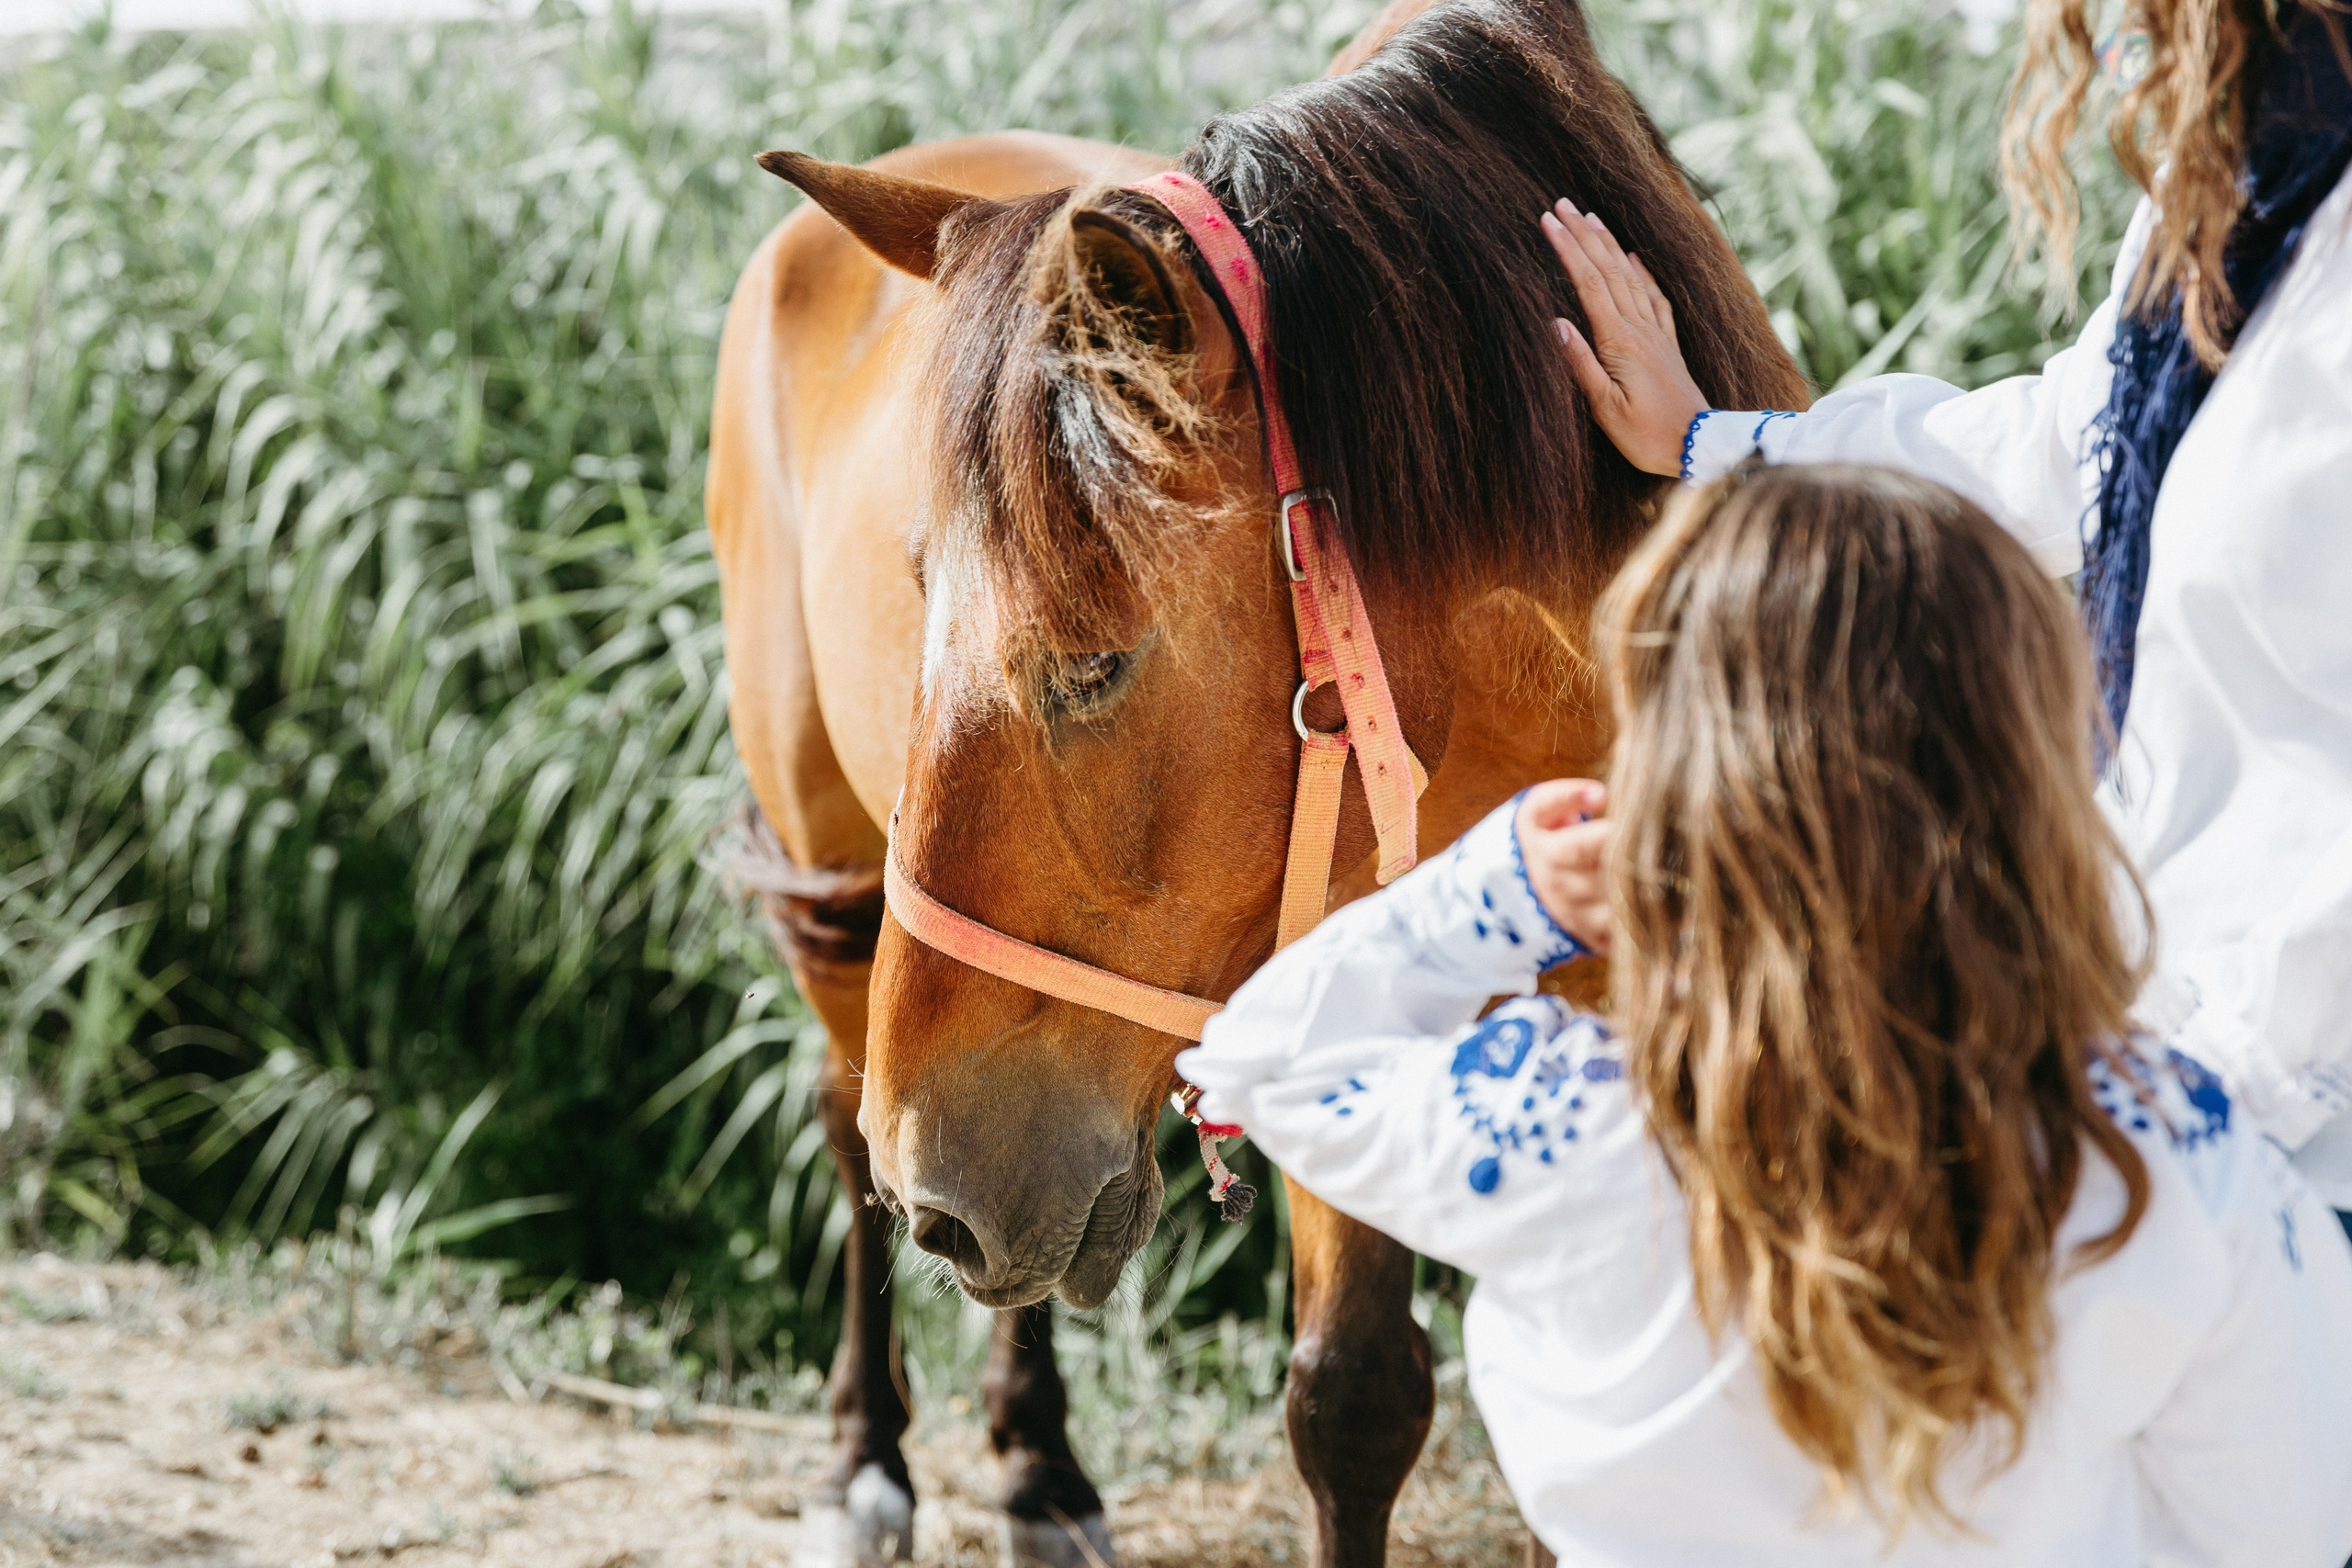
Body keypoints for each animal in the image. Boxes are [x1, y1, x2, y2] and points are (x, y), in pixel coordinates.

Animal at [705, 1, 1807, 1563]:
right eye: (920, 596)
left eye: (1094, 661)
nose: (947, 1187)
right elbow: (1355, 1397)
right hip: (836, 866)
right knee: (838, 1104)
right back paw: (878, 1458)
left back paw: (1036, 1460)